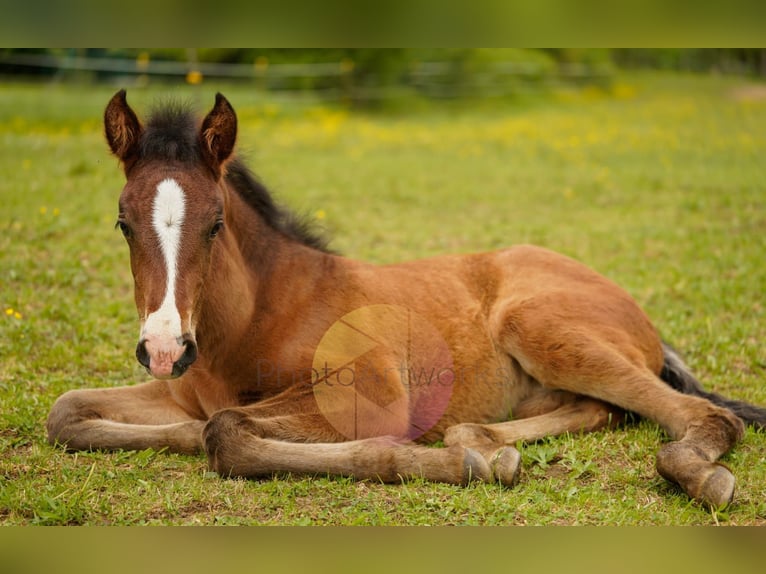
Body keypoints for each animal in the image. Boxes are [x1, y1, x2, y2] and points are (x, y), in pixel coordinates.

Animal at [47, 90, 766, 509]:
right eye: (122, 223)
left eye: (216, 223)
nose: (165, 347)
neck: (261, 316)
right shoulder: (178, 393)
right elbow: (72, 412)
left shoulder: (374, 395)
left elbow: (225, 431)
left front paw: (455, 465)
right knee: (603, 411)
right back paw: (482, 440)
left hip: (540, 325)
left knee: (701, 416)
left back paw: (695, 475)